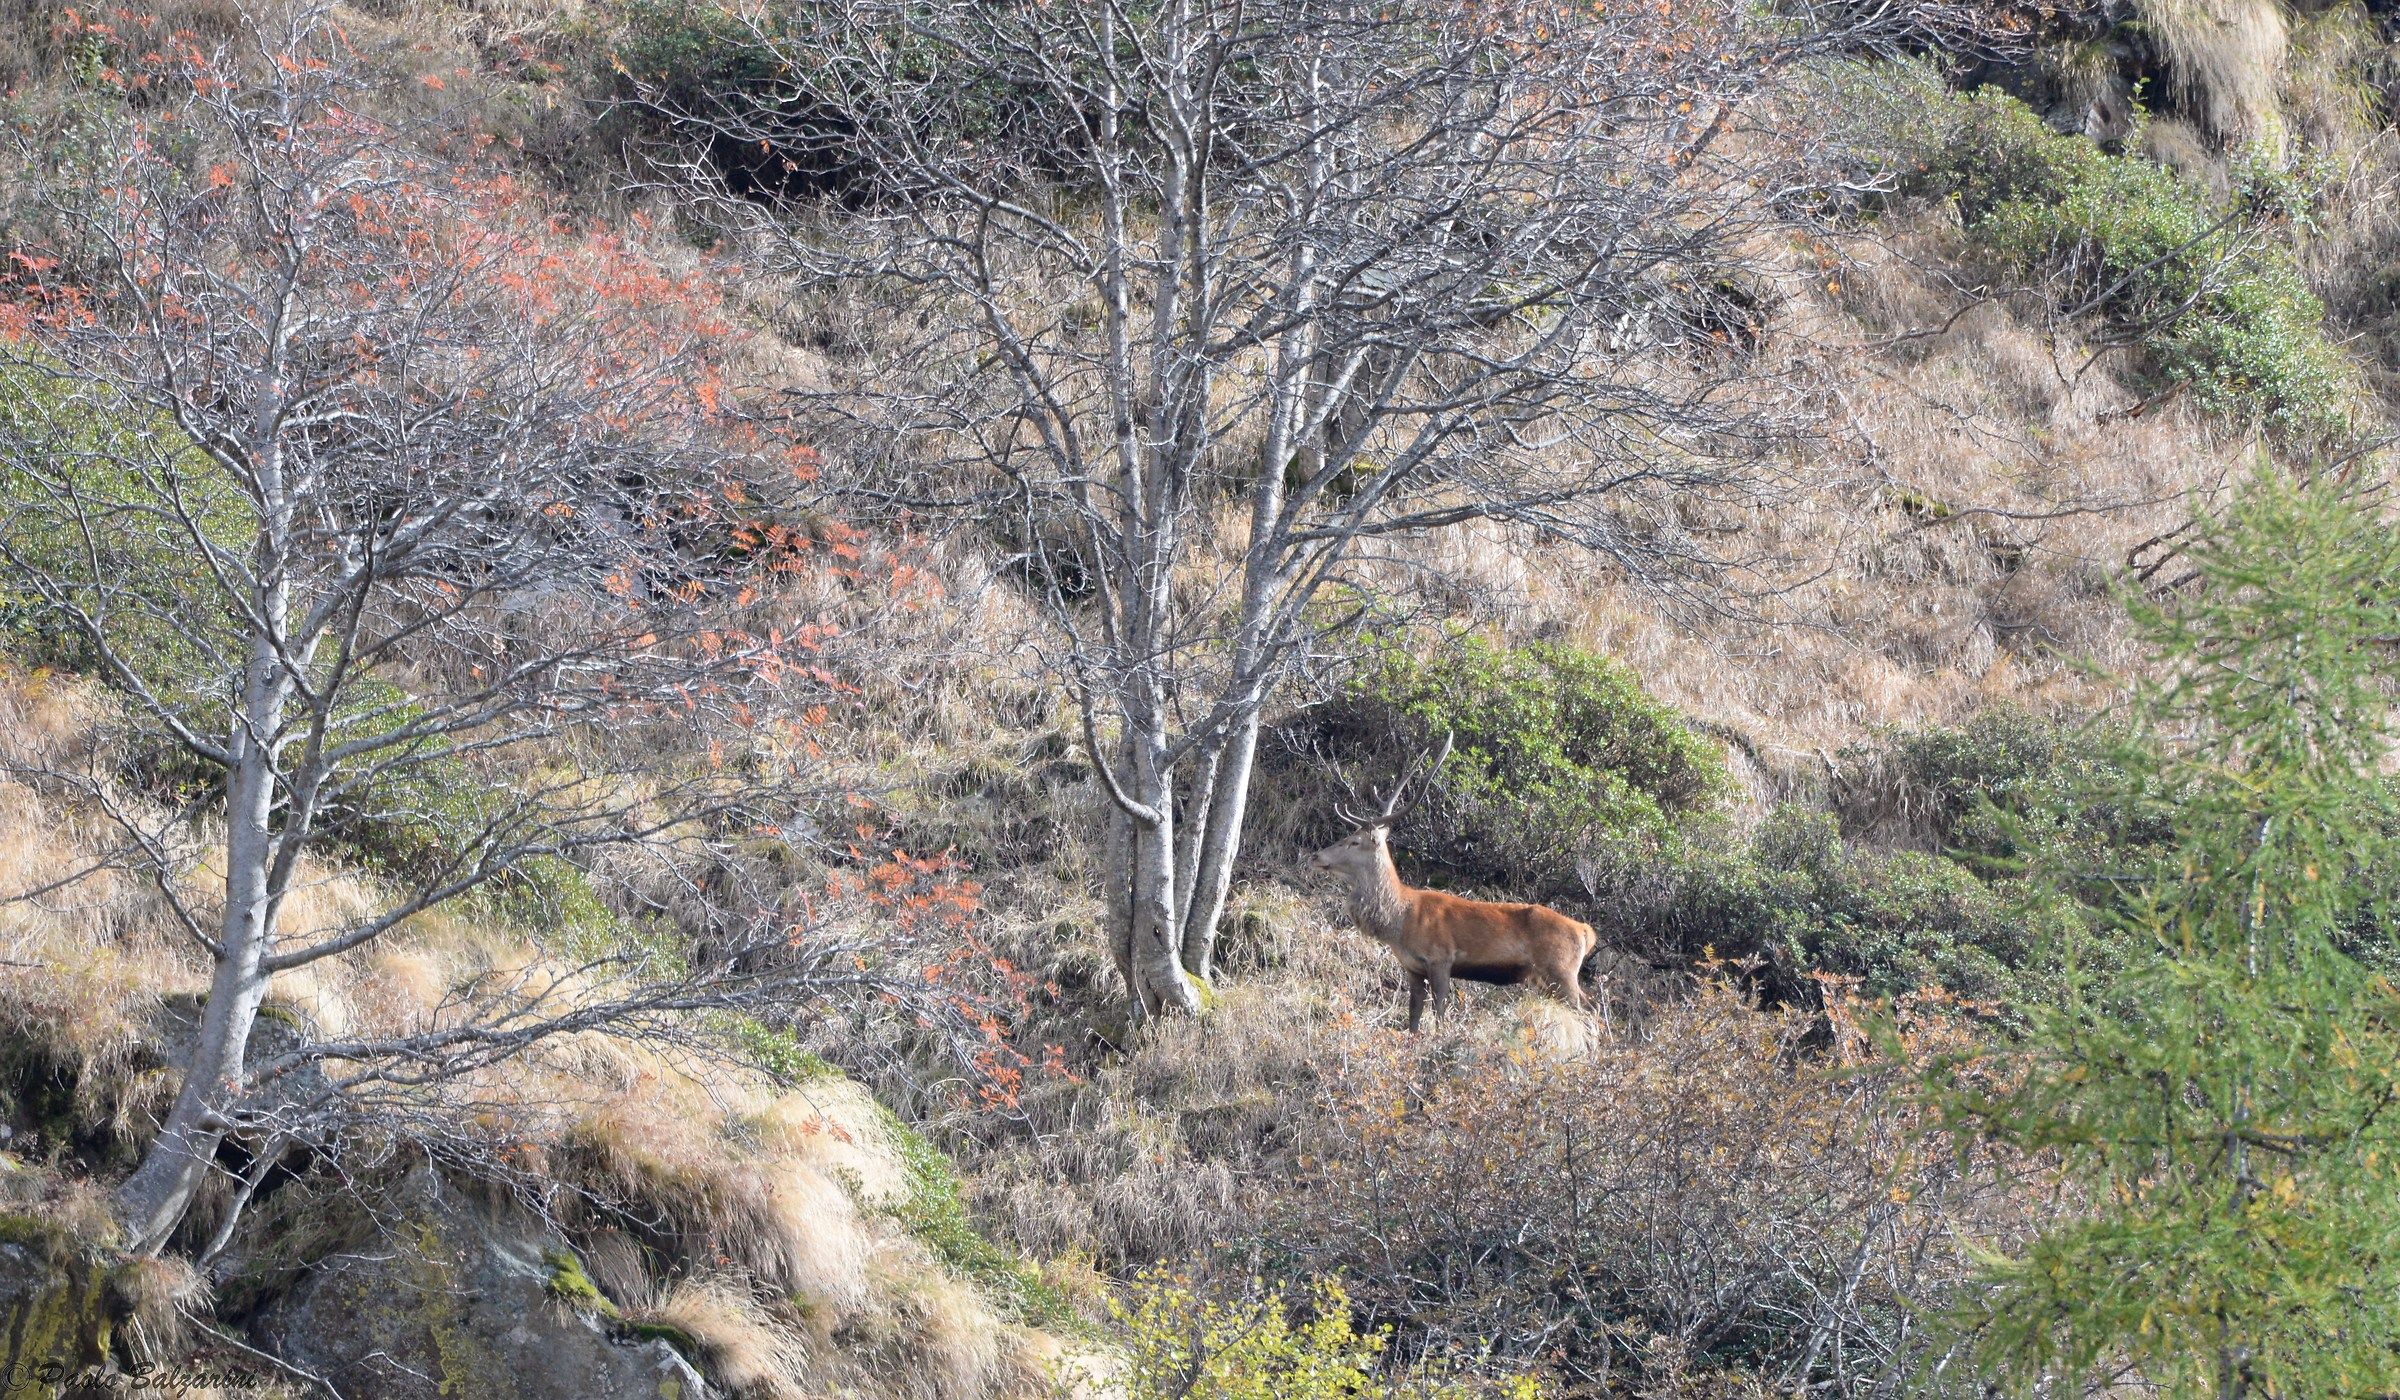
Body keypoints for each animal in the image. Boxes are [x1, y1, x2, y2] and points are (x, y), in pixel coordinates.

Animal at [1309, 733, 1598, 1031]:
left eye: (1354, 841)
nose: (1315, 856)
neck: (1400, 919)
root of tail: (1586, 932)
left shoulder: (1440, 957)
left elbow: (1439, 1011)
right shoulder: (1412, 967)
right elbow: (1413, 1016)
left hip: (1560, 970)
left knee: (1586, 1011)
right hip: (1549, 978)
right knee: (1592, 1006)